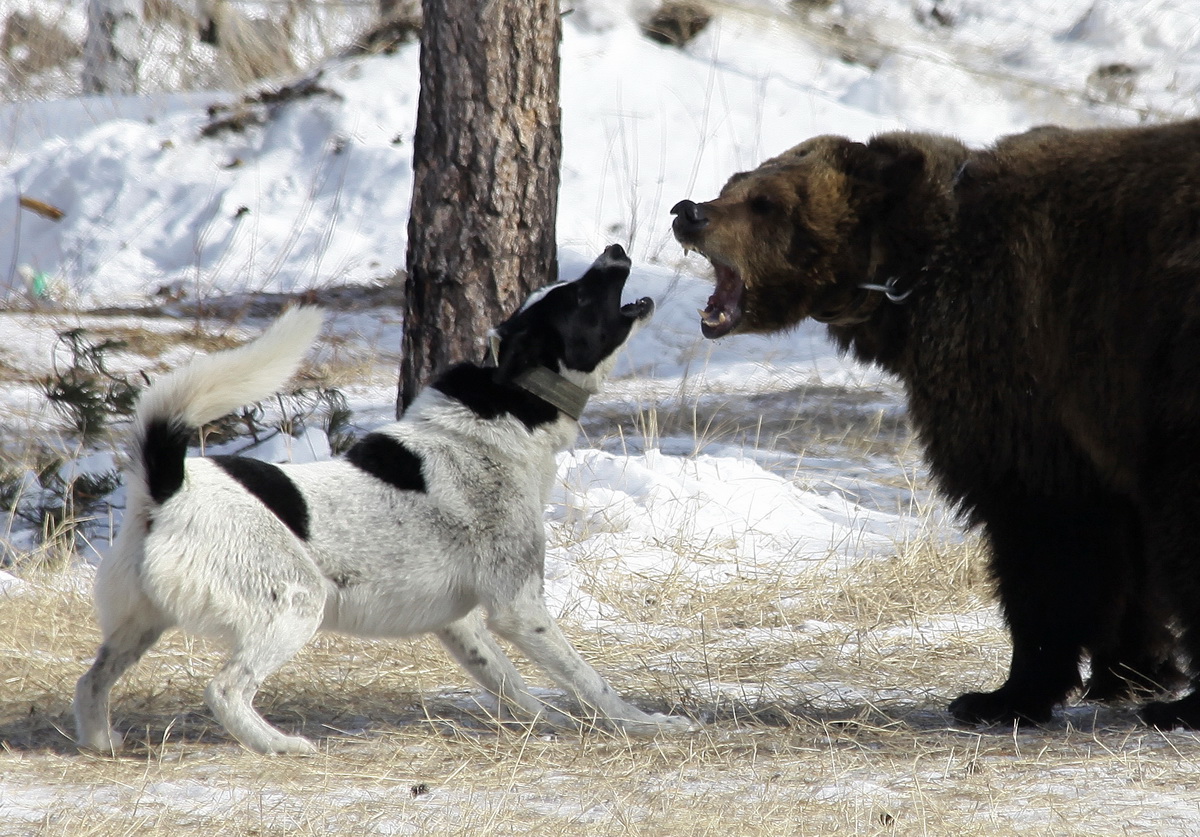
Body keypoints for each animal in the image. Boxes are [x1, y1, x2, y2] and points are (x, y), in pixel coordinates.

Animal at [75, 244, 696, 753]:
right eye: (580, 296)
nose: (614, 250)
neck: (510, 408)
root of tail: (164, 485)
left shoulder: (462, 623)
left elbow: (509, 682)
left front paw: (548, 723)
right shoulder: (519, 608)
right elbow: (590, 681)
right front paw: (646, 724)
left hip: (140, 624)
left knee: (92, 679)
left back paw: (101, 742)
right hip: (296, 603)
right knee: (225, 689)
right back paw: (280, 745)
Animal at [672, 120, 1200, 729]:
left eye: (767, 202)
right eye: (734, 183)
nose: (688, 211)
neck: (911, 275)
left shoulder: (1018, 365)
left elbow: (1041, 528)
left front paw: (1007, 693)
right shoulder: (1097, 414)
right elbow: (1128, 540)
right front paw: (1132, 671)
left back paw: (1181, 710)